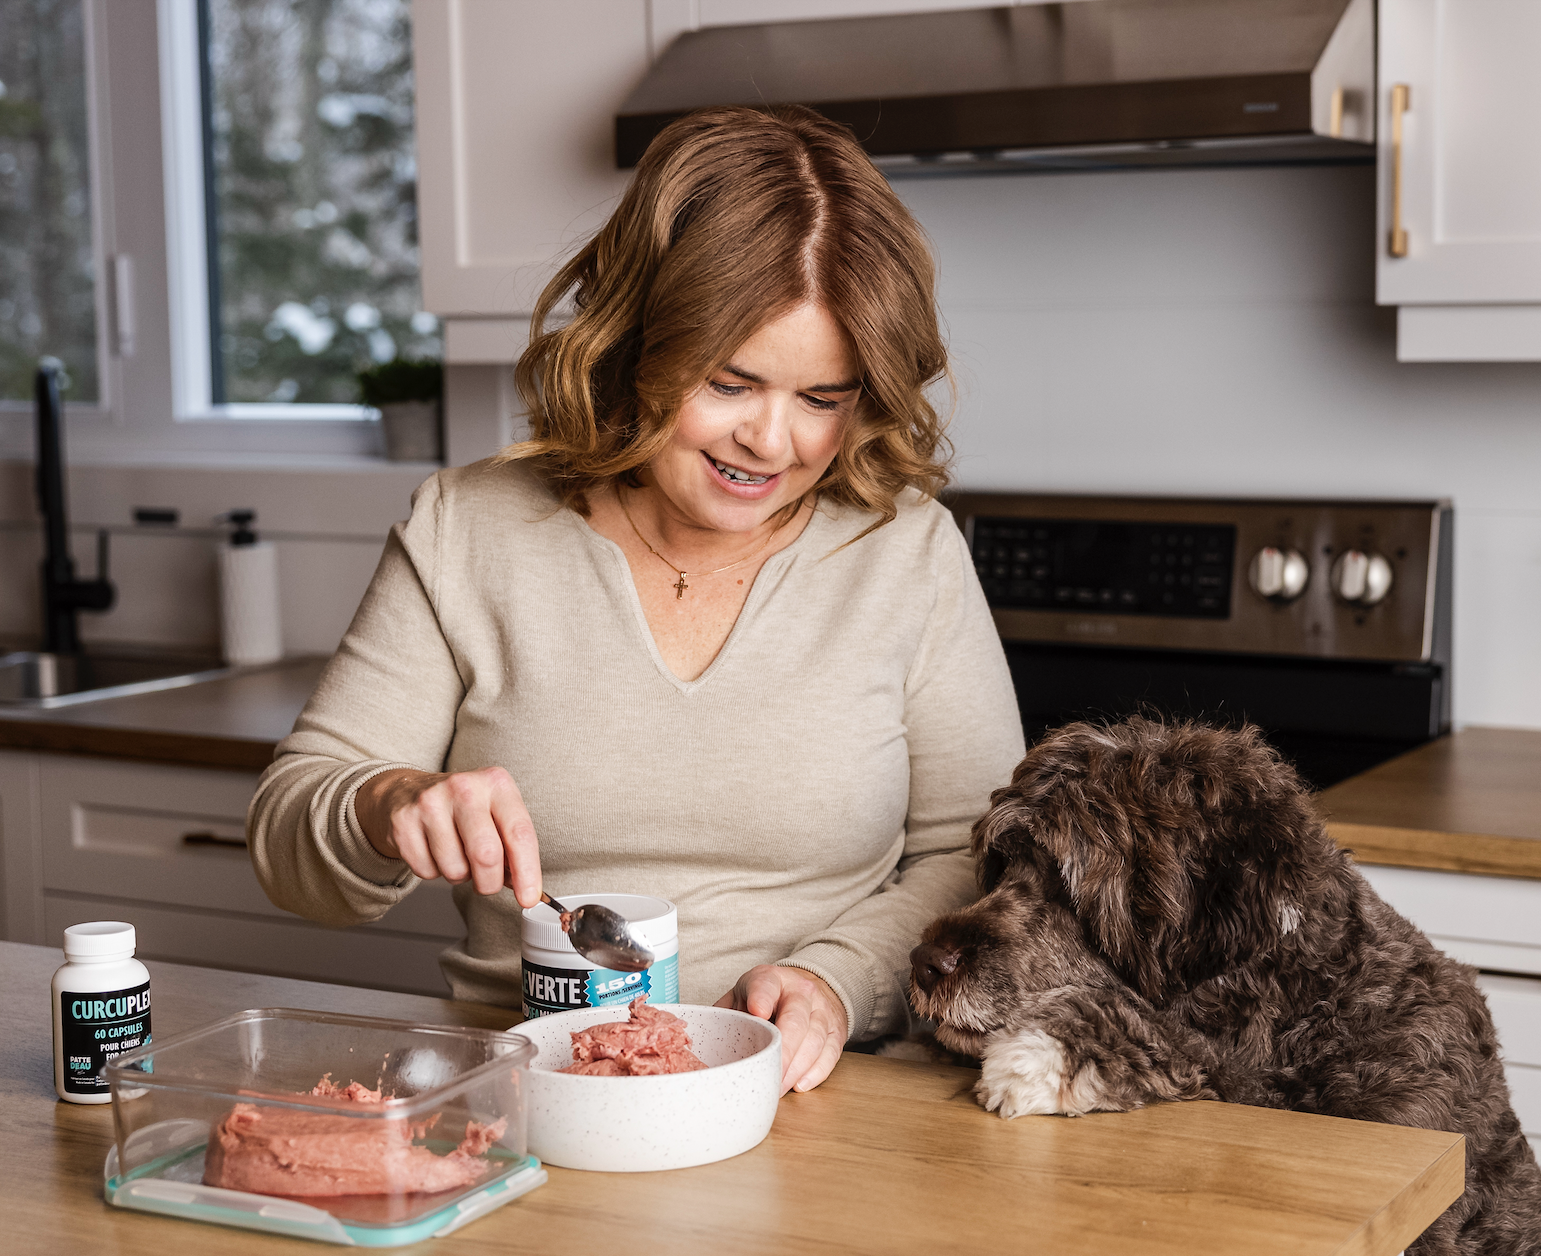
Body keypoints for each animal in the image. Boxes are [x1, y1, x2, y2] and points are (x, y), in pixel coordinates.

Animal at [906, 718, 1541, 1256]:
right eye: (1003, 865)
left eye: (1065, 887)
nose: (923, 962)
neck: (1313, 1012)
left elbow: (1182, 1043)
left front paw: (1043, 1054)